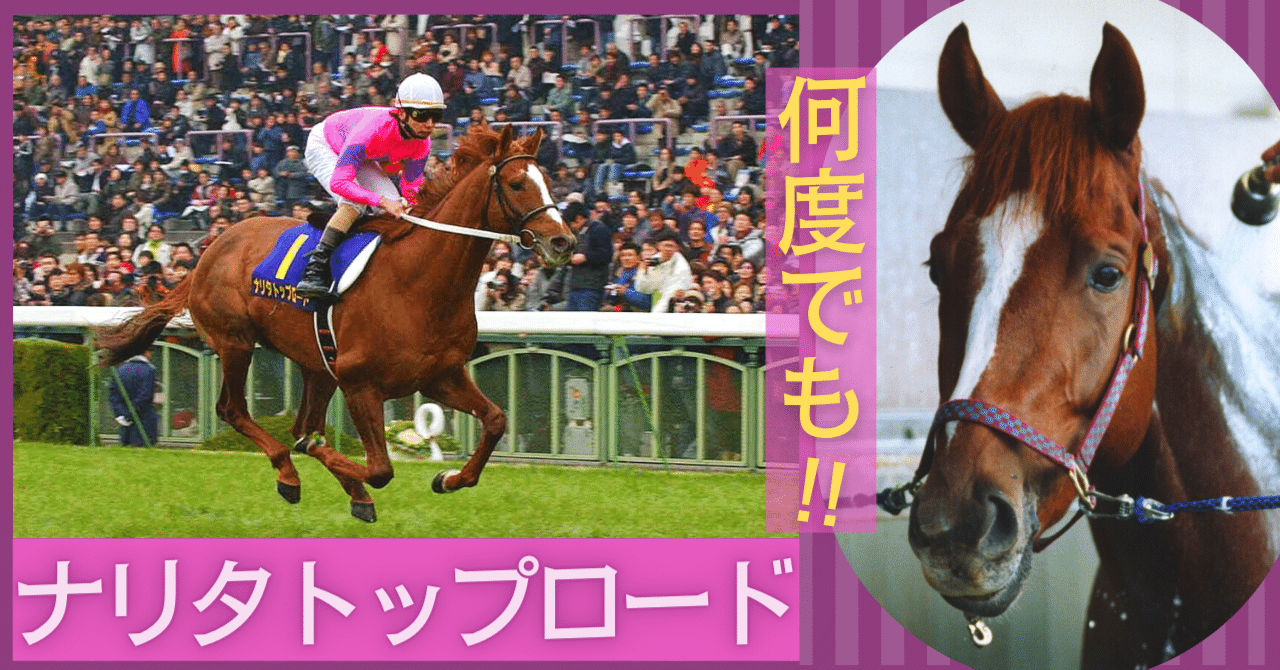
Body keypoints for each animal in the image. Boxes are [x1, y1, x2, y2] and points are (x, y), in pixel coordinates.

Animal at [97, 125, 576, 523]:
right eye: (516, 184)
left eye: (548, 181)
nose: (563, 242)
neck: (419, 283)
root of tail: (208, 251)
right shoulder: (360, 383)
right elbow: (379, 468)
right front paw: (329, 460)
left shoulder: (440, 376)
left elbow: (495, 420)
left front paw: (449, 478)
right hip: (236, 342)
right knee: (235, 411)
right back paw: (290, 474)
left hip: (317, 364)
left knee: (298, 424)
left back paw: (350, 492)